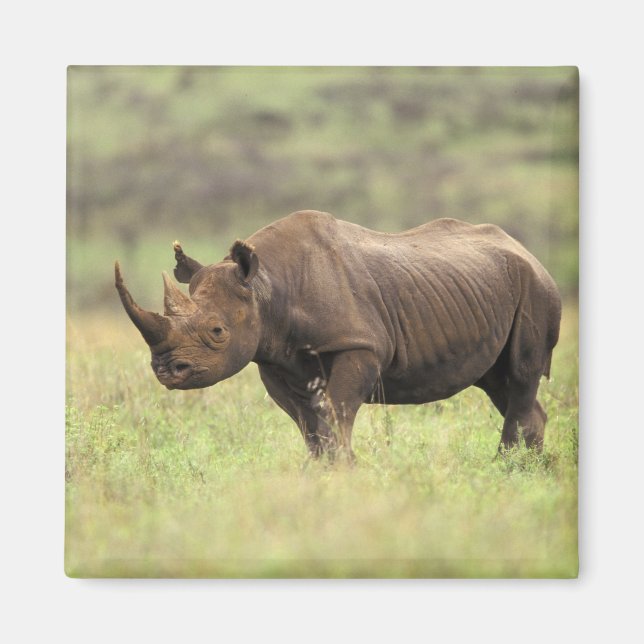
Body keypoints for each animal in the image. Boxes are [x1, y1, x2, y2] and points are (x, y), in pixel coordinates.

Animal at [115, 210, 561, 459]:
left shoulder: (358, 345)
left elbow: (336, 411)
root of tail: (530, 254)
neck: (266, 286)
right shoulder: (273, 358)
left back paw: (505, 469)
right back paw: (529, 473)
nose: (166, 371)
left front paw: (344, 472)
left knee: (521, 375)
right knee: (499, 383)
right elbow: (308, 424)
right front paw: (320, 473)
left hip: (536, 288)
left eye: (217, 331)